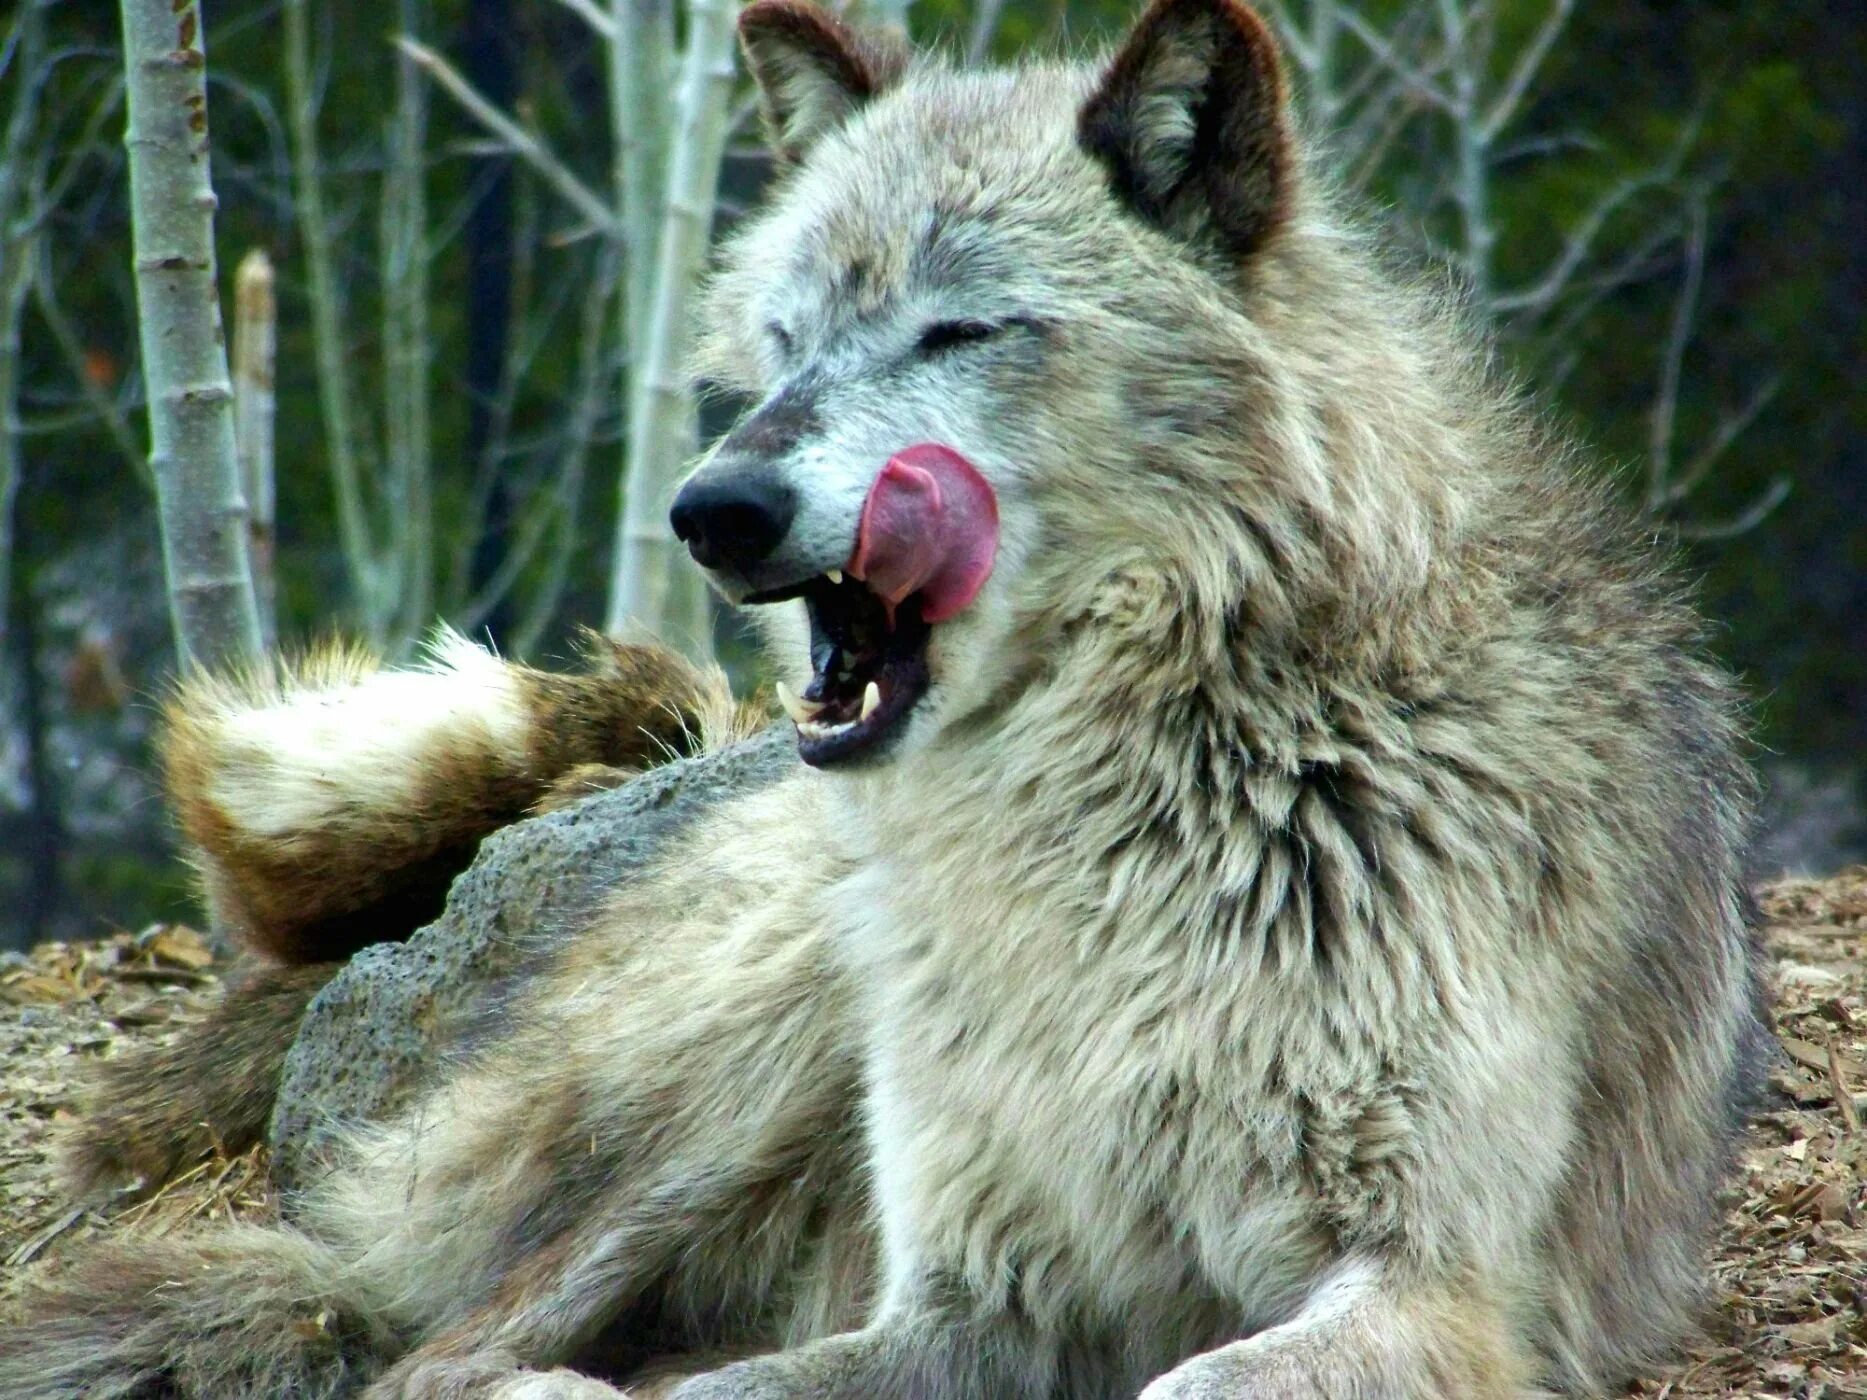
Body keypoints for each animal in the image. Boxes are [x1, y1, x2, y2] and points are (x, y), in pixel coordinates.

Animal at [0, 0, 1762, 1396]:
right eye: (782, 343)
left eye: (956, 328)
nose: (712, 508)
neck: (1122, 821)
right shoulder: (970, 1299)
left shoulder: (1433, 1283)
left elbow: (1195, 1379)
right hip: (759, 1058)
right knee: (433, 1354)